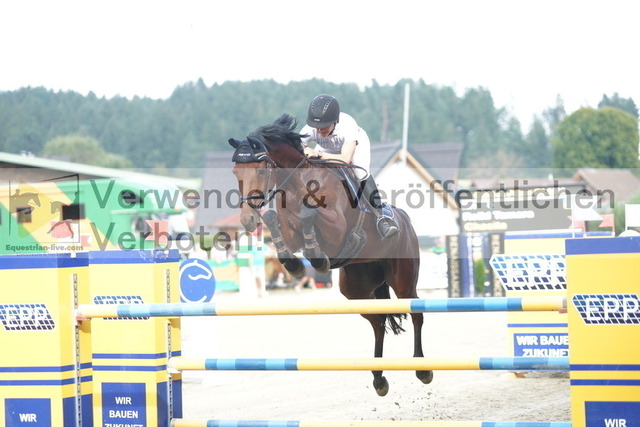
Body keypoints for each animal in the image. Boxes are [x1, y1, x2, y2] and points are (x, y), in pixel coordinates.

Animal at [228, 114, 432, 396]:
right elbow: (277, 226)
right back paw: (379, 378)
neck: (298, 183)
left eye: (260, 170)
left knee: (416, 312)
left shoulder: (336, 229)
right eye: (235, 171)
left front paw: (316, 256)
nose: (247, 220)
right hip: (356, 289)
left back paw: (422, 369)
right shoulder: (291, 233)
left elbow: (311, 215)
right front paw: (296, 265)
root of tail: (406, 221)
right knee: (378, 321)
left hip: (403, 280)